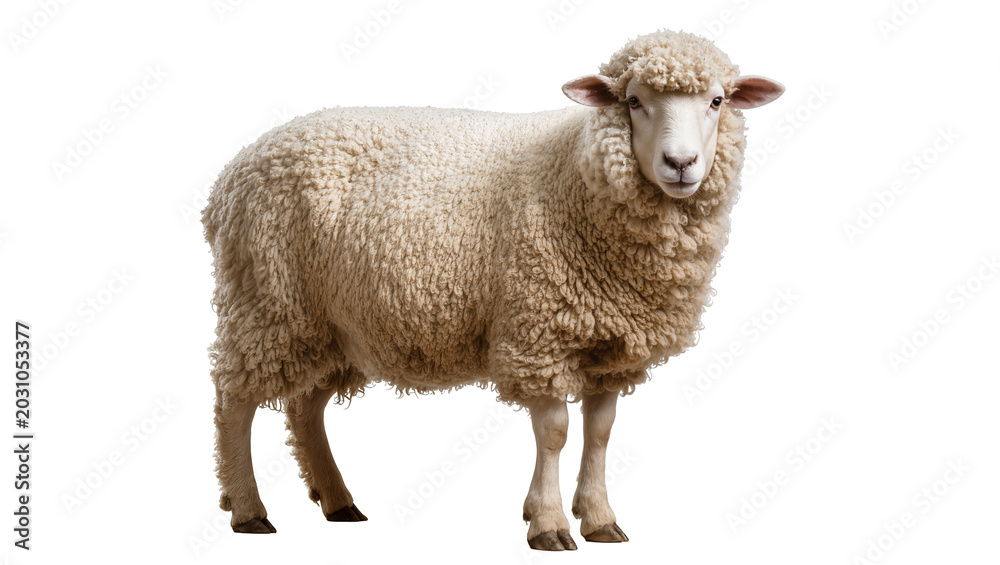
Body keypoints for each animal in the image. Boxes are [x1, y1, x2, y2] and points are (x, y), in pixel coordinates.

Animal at [202, 29, 783, 550]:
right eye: (634, 101)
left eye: (717, 101)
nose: (681, 164)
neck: (576, 172)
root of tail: (230, 176)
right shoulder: (538, 332)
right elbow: (555, 432)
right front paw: (548, 524)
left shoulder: (611, 345)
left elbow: (600, 431)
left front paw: (599, 519)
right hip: (268, 303)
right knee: (234, 399)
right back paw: (248, 510)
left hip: (334, 326)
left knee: (305, 407)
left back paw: (337, 501)